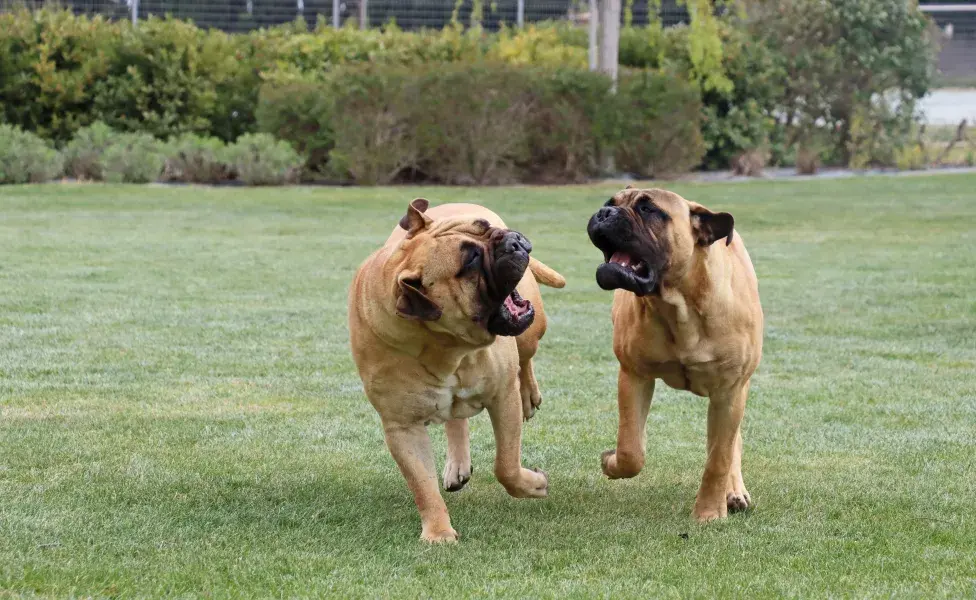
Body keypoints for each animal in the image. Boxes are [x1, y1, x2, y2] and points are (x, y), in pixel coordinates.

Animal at [348, 199, 564, 540]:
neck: (445, 345)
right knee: (456, 419)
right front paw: (438, 533)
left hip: (531, 330)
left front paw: (534, 484)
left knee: (526, 357)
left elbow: (506, 464)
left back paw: (529, 395)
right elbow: (422, 485)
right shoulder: (402, 427)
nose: (513, 241)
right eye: (470, 260)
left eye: (483, 226)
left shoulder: (503, 396)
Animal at [588, 186, 764, 520]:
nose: (604, 213)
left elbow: (719, 458)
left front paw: (709, 513)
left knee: (731, 443)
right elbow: (631, 449)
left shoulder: (730, 390)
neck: (678, 306)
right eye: (609, 203)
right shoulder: (634, 375)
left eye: (648, 209)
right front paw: (611, 461)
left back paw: (733, 491)